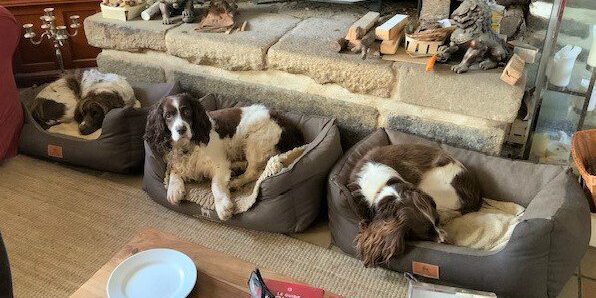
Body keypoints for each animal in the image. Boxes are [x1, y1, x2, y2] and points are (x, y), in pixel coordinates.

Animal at [144, 94, 302, 220]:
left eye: (187, 111)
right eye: (168, 116)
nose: (181, 129)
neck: (188, 146)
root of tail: (285, 122)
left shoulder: (219, 165)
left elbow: (216, 185)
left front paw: (223, 207)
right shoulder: (176, 161)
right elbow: (174, 171)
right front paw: (174, 190)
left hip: (255, 141)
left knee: (254, 172)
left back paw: (235, 182)